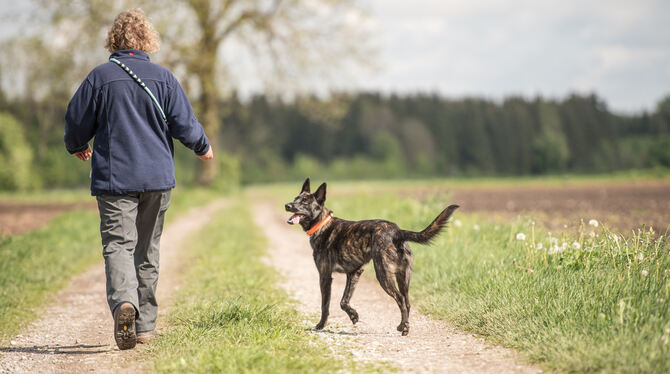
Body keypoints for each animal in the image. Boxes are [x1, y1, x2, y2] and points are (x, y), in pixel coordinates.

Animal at [286, 178, 460, 336]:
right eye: (295, 198)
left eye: (305, 202)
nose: (287, 205)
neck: (322, 224)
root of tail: (397, 231)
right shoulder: (354, 273)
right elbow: (344, 301)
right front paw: (353, 316)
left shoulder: (325, 276)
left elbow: (325, 305)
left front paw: (321, 325)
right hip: (403, 277)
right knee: (407, 302)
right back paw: (403, 325)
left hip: (383, 275)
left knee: (400, 300)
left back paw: (404, 328)